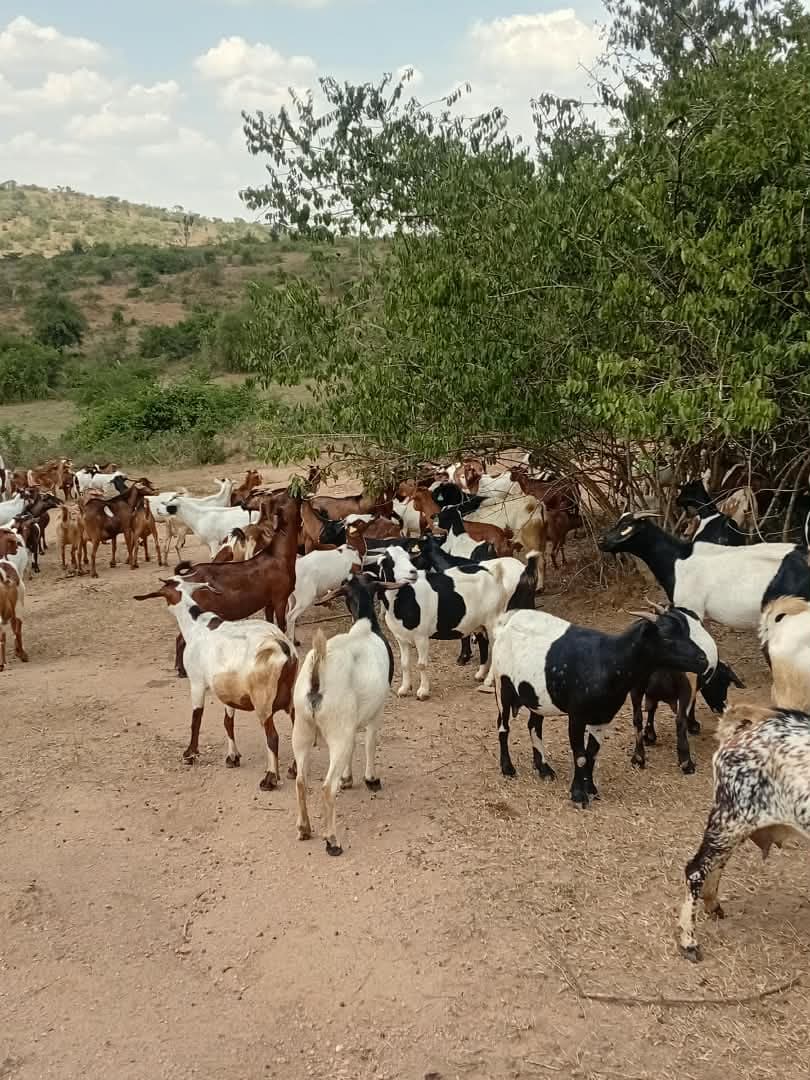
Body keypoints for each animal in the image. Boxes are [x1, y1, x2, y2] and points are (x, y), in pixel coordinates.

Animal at [135, 577, 297, 789]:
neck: (196, 627)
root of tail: (283, 648)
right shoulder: (229, 690)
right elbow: (228, 722)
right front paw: (232, 757)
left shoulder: (196, 682)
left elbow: (196, 719)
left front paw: (190, 754)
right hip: (293, 698)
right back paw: (293, 770)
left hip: (263, 702)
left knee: (272, 737)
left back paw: (269, 779)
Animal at [293, 573, 404, 855]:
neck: (365, 627)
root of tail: (318, 669)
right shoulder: (377, 710)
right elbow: (370, 743)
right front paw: (370, 779)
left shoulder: (350, 724)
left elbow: (355, 745)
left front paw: (347, 777)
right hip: (335, 729)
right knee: (326, 787)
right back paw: (332, 840)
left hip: (302, 728)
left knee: (301, 780)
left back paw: (304, 828)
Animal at [491, 606, 713, 807]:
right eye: (667, 638)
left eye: (687, 633)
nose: (703, 659)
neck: (608, 661)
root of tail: (505, 624)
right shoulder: (577, 716)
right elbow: (580, 756)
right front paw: (578, 796)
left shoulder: (603, 717)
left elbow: (592, 754)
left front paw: (591, 790)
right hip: (502, 685)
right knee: (503, 727)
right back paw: (508, 768)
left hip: (537, 697)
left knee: (534, 726)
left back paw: (544, 769)